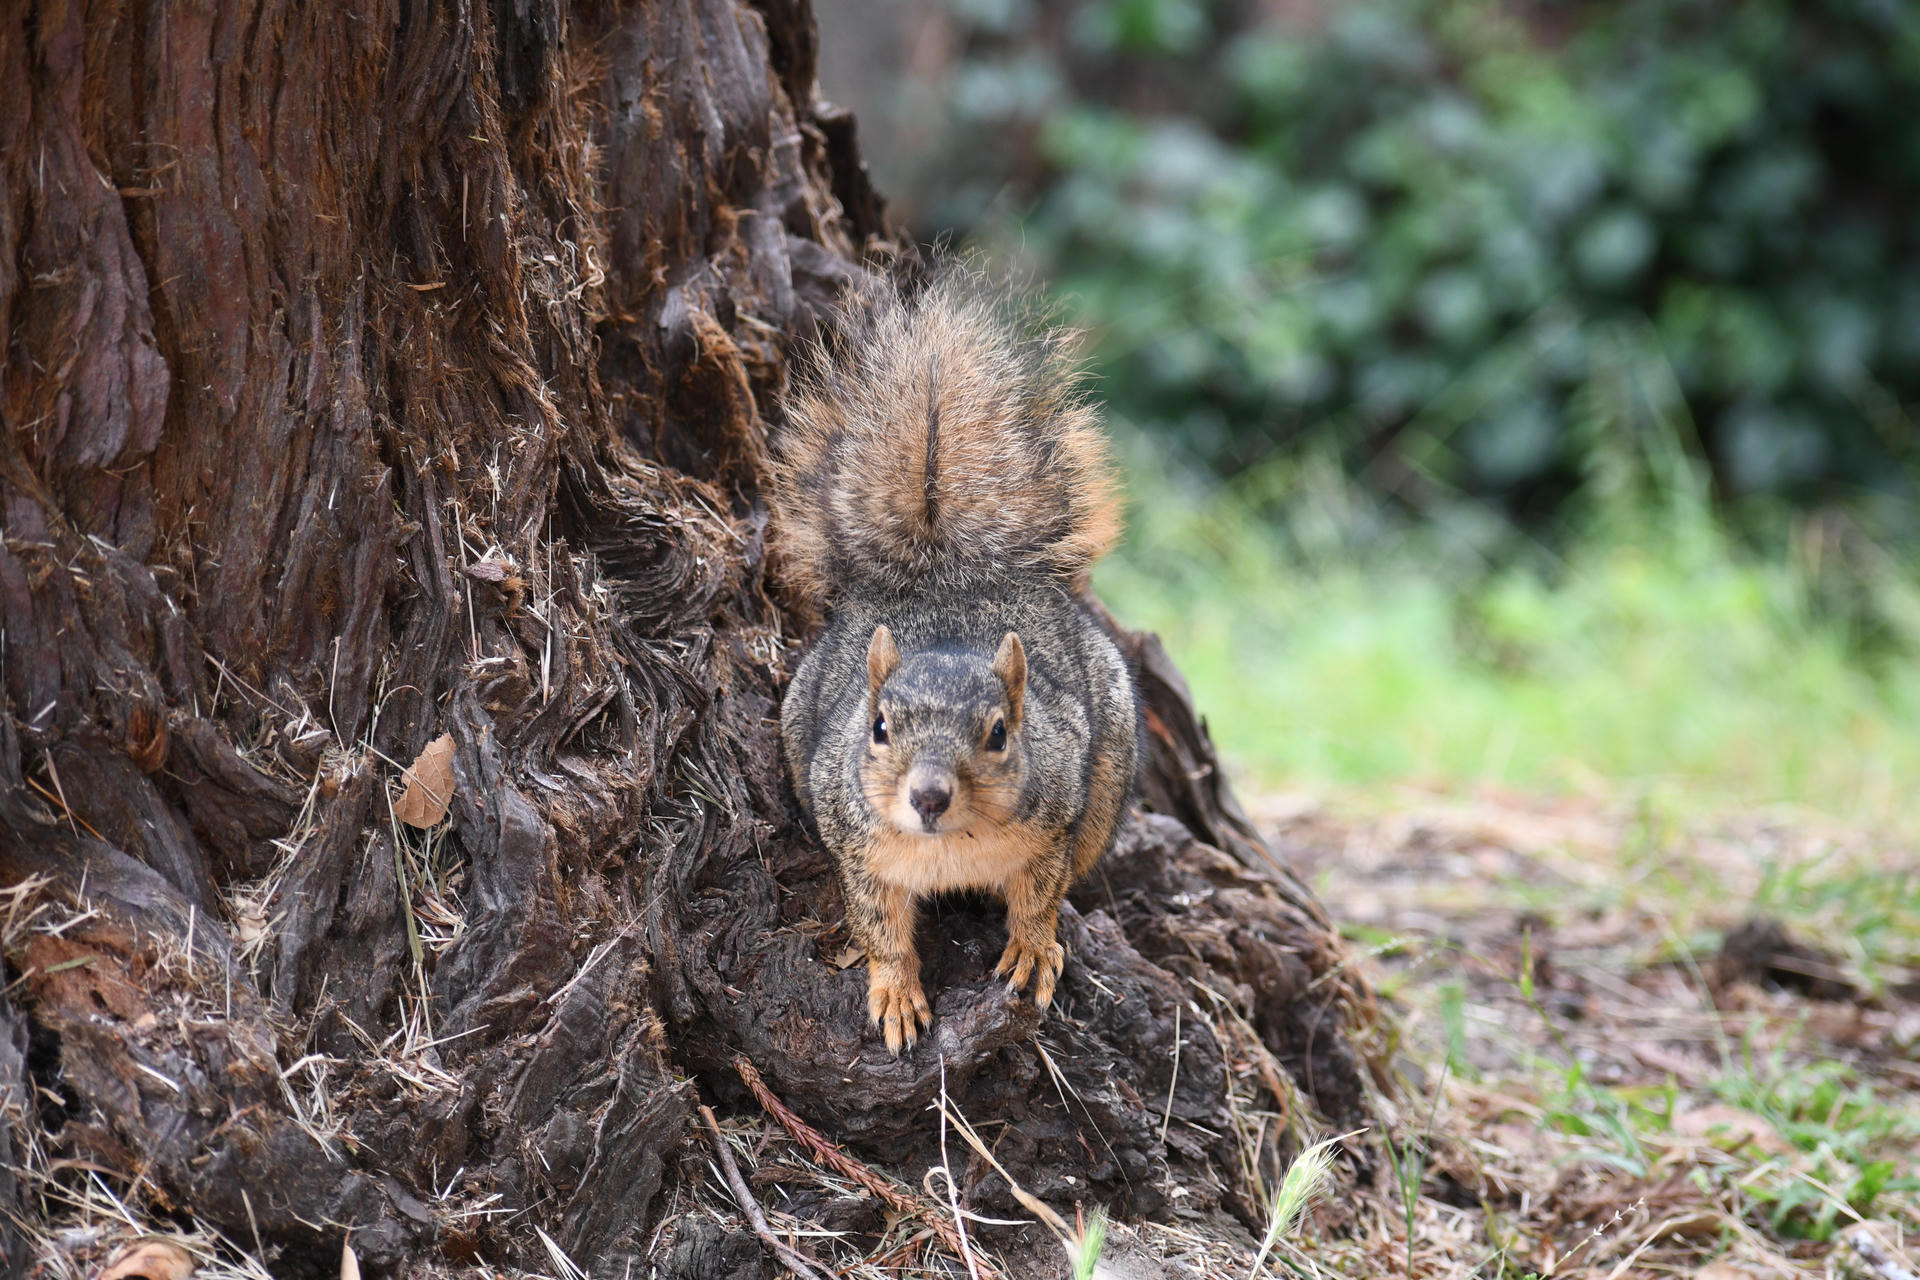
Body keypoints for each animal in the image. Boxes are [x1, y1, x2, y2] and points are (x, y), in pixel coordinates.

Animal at [770, 269, 1139, 1055]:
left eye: (1000, 734)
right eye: (878, 727)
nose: (929, 796)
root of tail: (943, 575)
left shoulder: (1052, 826)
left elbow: (1039, 898)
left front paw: (1032, 948)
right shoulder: (859, 852)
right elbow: (879, 928)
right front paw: (894, 991)